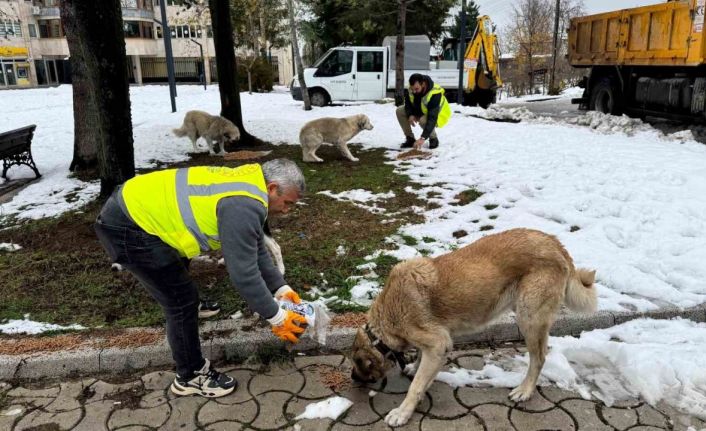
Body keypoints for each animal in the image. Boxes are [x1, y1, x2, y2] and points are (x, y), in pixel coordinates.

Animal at [348, 230, 592, 428]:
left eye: (357, 363)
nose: (352, 378)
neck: (386, 319)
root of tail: (556, 244)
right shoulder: (433, 345)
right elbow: (419, 361)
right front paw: (414, 367)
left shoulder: (438, 344)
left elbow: (415, 386)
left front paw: (403, 412)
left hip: (529, 319)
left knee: (539, 358)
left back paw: (525, 390)